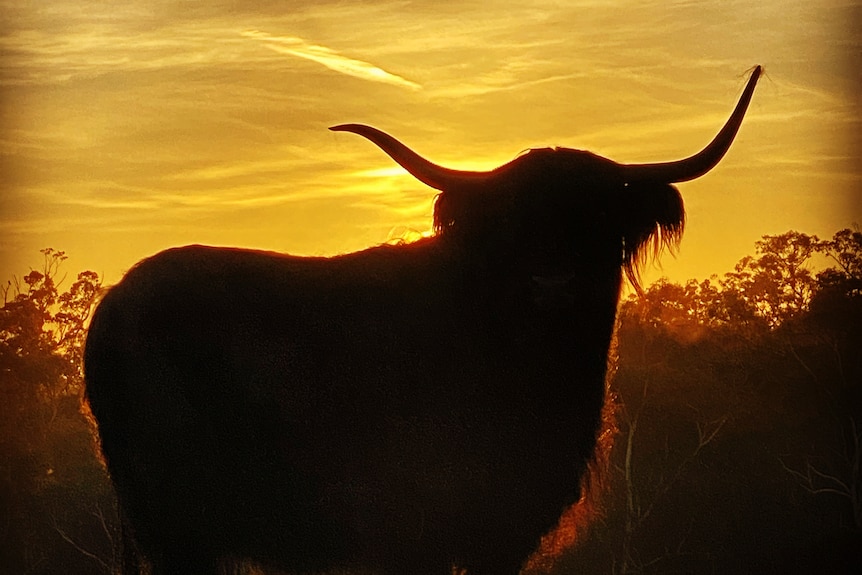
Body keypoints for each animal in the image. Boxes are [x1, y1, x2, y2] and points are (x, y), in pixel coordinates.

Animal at [84, 65, 760, 572]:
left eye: (596, 215)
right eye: (512, 220)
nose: (552, 282)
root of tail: (118, 297)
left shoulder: (505, 532)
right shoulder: (418, 527)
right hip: (176, 522)